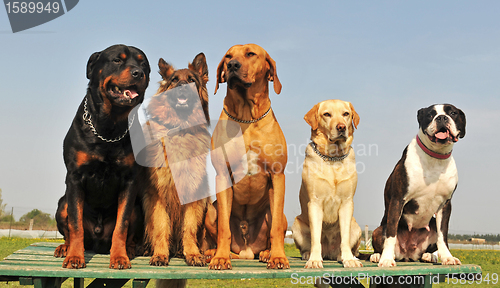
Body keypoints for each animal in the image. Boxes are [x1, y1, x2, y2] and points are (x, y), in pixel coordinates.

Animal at [204, 43, 290, 270]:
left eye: (251, 54)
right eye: (228, 56)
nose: (232, 65)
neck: (247, 117)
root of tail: (247, 251)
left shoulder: (278, 175)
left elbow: (276, 228)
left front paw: (278, 257)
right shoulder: (222, 175)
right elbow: (224, 228)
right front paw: (220, 258)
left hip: (279, 213)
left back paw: (268, 253)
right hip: (211, 212)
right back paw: (213, 253)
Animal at [292, 100, 362, 268]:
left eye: (346, 114)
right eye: (327, 114)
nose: (341, 127)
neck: (333, 158)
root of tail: (329, 253)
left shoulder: (347, 203)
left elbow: (345, 238)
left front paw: (349, 259)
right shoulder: (315, 203)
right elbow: (315, 238)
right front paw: (314, 260)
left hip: (356, 226)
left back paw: (342, 256)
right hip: (296, 225)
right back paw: (307, 255)